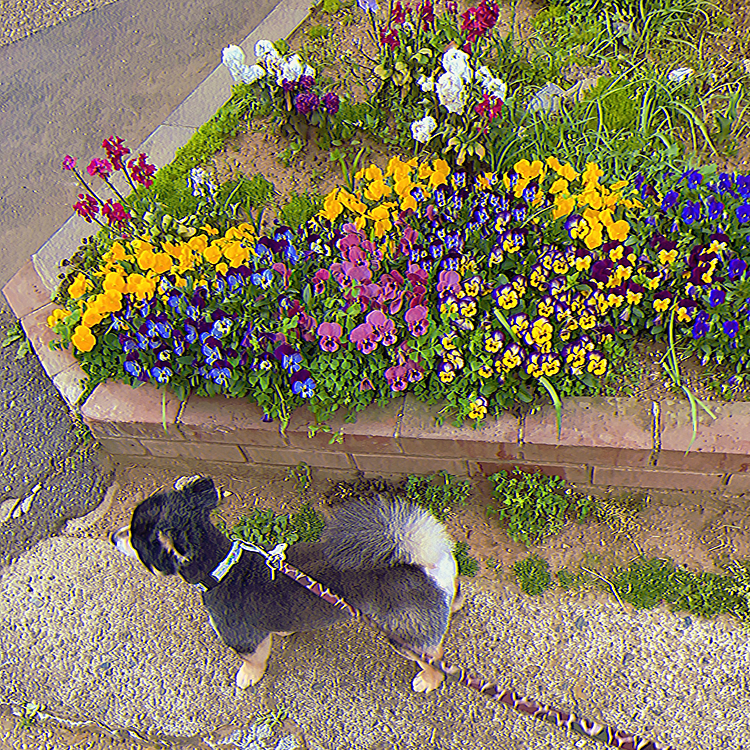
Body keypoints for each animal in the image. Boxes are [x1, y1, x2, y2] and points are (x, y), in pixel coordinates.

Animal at [111, 476, 464, 692]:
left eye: (133, 536)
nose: (112, 536)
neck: (221, 568)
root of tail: (422, 560)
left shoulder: (244, 639)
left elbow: (253, 660)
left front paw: (248, 676)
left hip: (403, 635)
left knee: (433, 655)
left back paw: (428, 679)